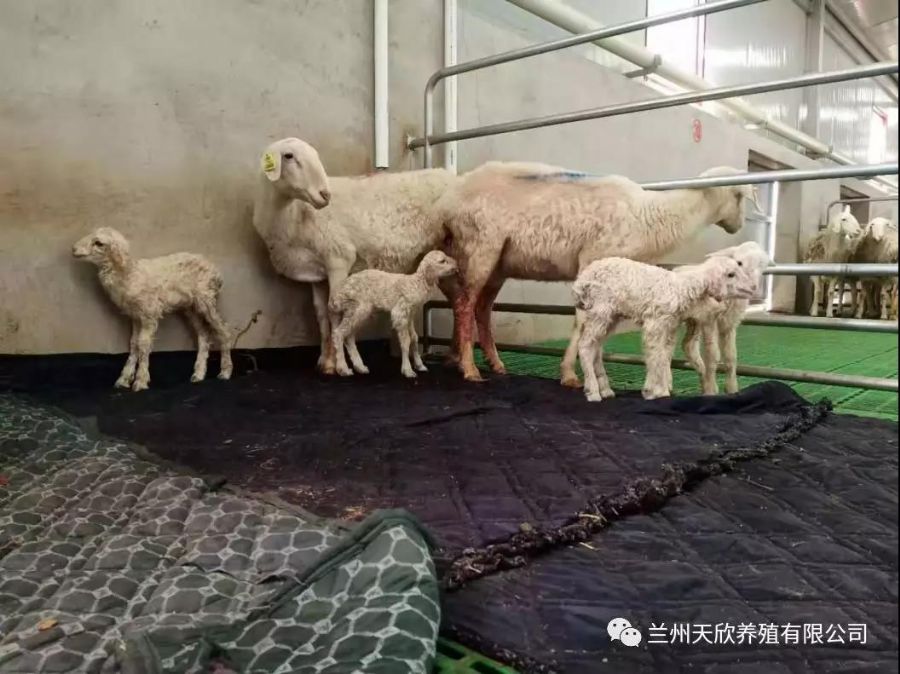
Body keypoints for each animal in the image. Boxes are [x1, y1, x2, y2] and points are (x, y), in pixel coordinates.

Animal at [72, 227, 232, 391]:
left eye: (99, 243)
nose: (74, 249)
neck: (129, 275)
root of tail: (217, 272)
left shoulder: (149, 313)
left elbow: (143, 345)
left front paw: (140, 381)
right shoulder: (136, 316)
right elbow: (133, 344)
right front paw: (124, 379)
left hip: (206, 300)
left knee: (224, 331)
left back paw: (225, 372)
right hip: (191, 307)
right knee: (204, 335)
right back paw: (198, 374)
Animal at [328, 251, 459, 378]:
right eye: (442, 261)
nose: (456, 265)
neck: (417, 284)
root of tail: (337, 295)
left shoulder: (410, 315)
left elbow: (414, 338)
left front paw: (420, 365)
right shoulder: (400, 312)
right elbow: (406, 341)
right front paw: (408, 370)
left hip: (359, 312)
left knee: (349, 337)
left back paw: (360, 367)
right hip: (358, 308)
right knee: (338, 333)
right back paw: (343, 369)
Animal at [437, 163, 758, 383]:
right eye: (739, 197)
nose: (739, 226)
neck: (649, 215)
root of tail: (452, 198)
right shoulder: (592, 260)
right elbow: (582, 322)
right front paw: (569, 374)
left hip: (498, 264)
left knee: (481, 308)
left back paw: (493, 363)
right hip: (480, 245)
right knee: (464, 303)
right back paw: (469, 367)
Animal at [572, 255, 755, 402]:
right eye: (730, 274)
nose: (753, 288)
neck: (681, 287)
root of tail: (582, 280)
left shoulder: (668, 326)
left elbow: (662, 355)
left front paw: (657, 389)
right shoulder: (655, 323)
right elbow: (657, 356)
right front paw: (657, 391)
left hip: (611, 316)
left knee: (596, 348)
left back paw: (605, 390)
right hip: (601, 309)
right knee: (585, 346)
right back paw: (593, 392)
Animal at [679, 241, 772, 395]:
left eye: (762, 266)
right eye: (739, 263)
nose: (753, 287)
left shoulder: (730, 322)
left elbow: (731, 356)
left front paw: (731, 388)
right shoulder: (710, 320)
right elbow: (712, 355)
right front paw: (711, 389)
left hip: (694, 321)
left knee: (689, 346)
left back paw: (702, 375)